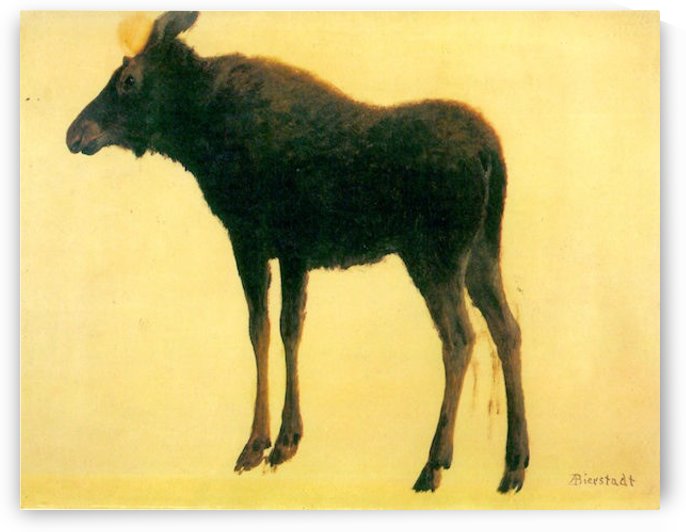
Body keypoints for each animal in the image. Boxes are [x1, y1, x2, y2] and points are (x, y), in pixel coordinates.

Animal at [66, 11, 529, 493]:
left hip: (434, 257)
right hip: (482, 252)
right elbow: (290, 329)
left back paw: (435, 462)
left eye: (128, 79)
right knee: (508, 329)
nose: (75, 133)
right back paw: (514, 464)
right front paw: (286, 439)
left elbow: (261, 329)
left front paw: (259, 443)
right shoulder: (294, 253)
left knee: (460, 338)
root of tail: (490, 153)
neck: (201, 138)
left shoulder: (250, 238)